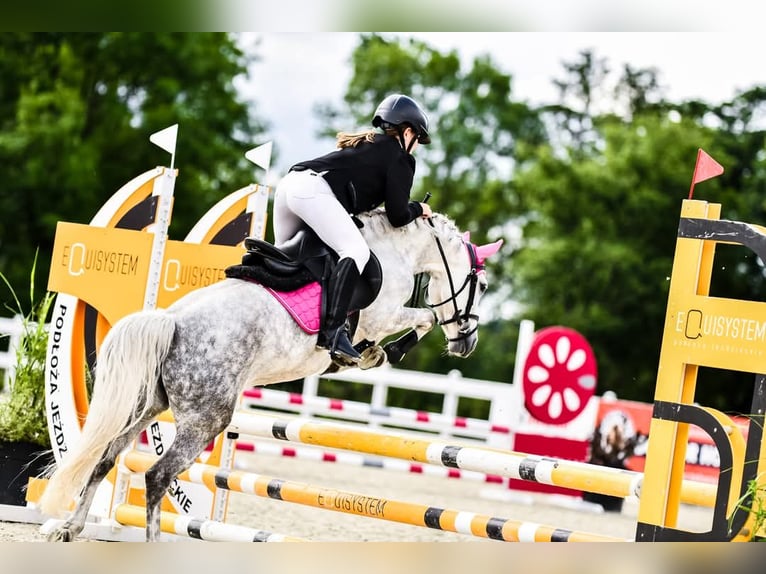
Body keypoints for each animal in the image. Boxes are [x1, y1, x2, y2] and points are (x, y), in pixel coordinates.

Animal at [37, 209, 504, 544]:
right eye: (481, 288)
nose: (467, 343)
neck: (397, 248)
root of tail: (170, 321)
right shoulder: (383, 315)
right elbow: (424, 317)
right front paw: (378, 353)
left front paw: (373, 355)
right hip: (207, 418)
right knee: (157, 476)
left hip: (150, 405)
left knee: (105, 457)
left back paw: (71, 527)